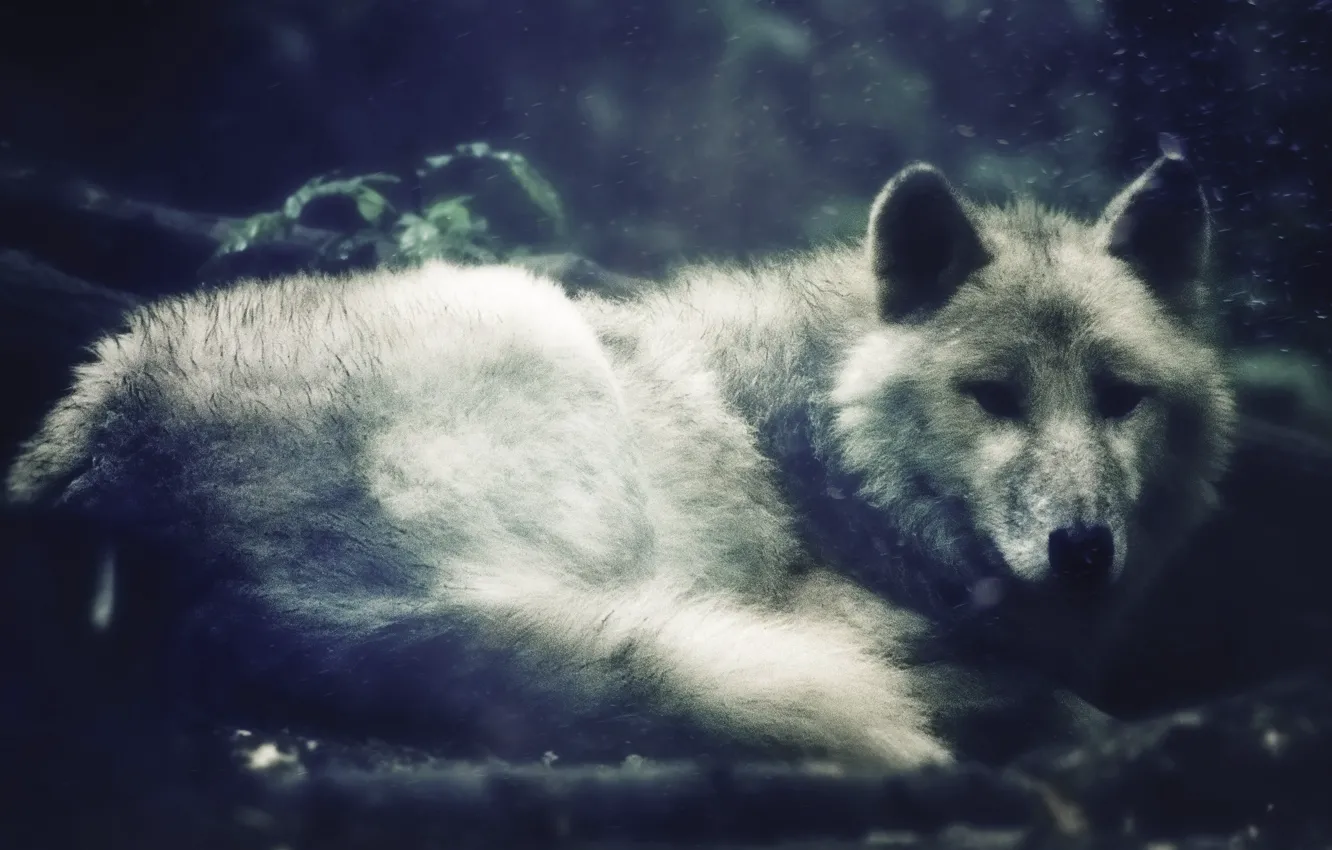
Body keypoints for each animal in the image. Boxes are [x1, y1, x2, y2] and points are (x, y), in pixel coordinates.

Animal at [4, 150, 1235, 768]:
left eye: (1121, 397)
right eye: (993, 397)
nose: (1083, 550)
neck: (822, 440)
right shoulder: (825, 606)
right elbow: (1037, 695)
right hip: (547, 367)